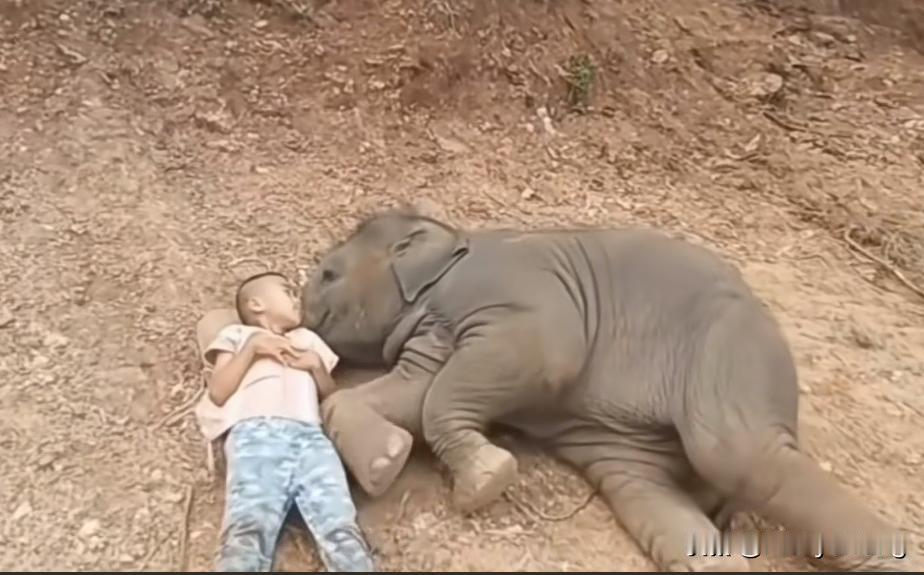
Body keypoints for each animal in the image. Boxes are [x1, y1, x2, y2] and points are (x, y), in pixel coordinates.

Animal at [300, 208, 910, 572]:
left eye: (328, 274)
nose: (298, 313)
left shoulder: (513, 292)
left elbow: (523, 360)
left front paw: (485, 482)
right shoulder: (433, 330)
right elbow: (413, 390)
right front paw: (385, 461)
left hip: (730, 349)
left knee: (742, 455)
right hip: (626, 447)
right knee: (650, 498)